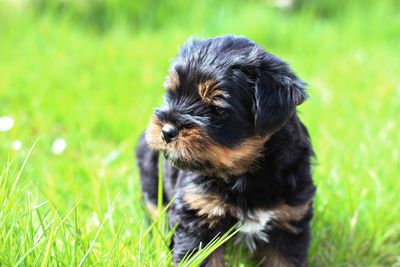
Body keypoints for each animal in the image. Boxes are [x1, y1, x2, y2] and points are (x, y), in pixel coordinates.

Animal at [137, 35, 316, 267]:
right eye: (171, 94)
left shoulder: (289, 218)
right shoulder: (199, 215)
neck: (245, 174)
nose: (167, 131)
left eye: (216, 108)